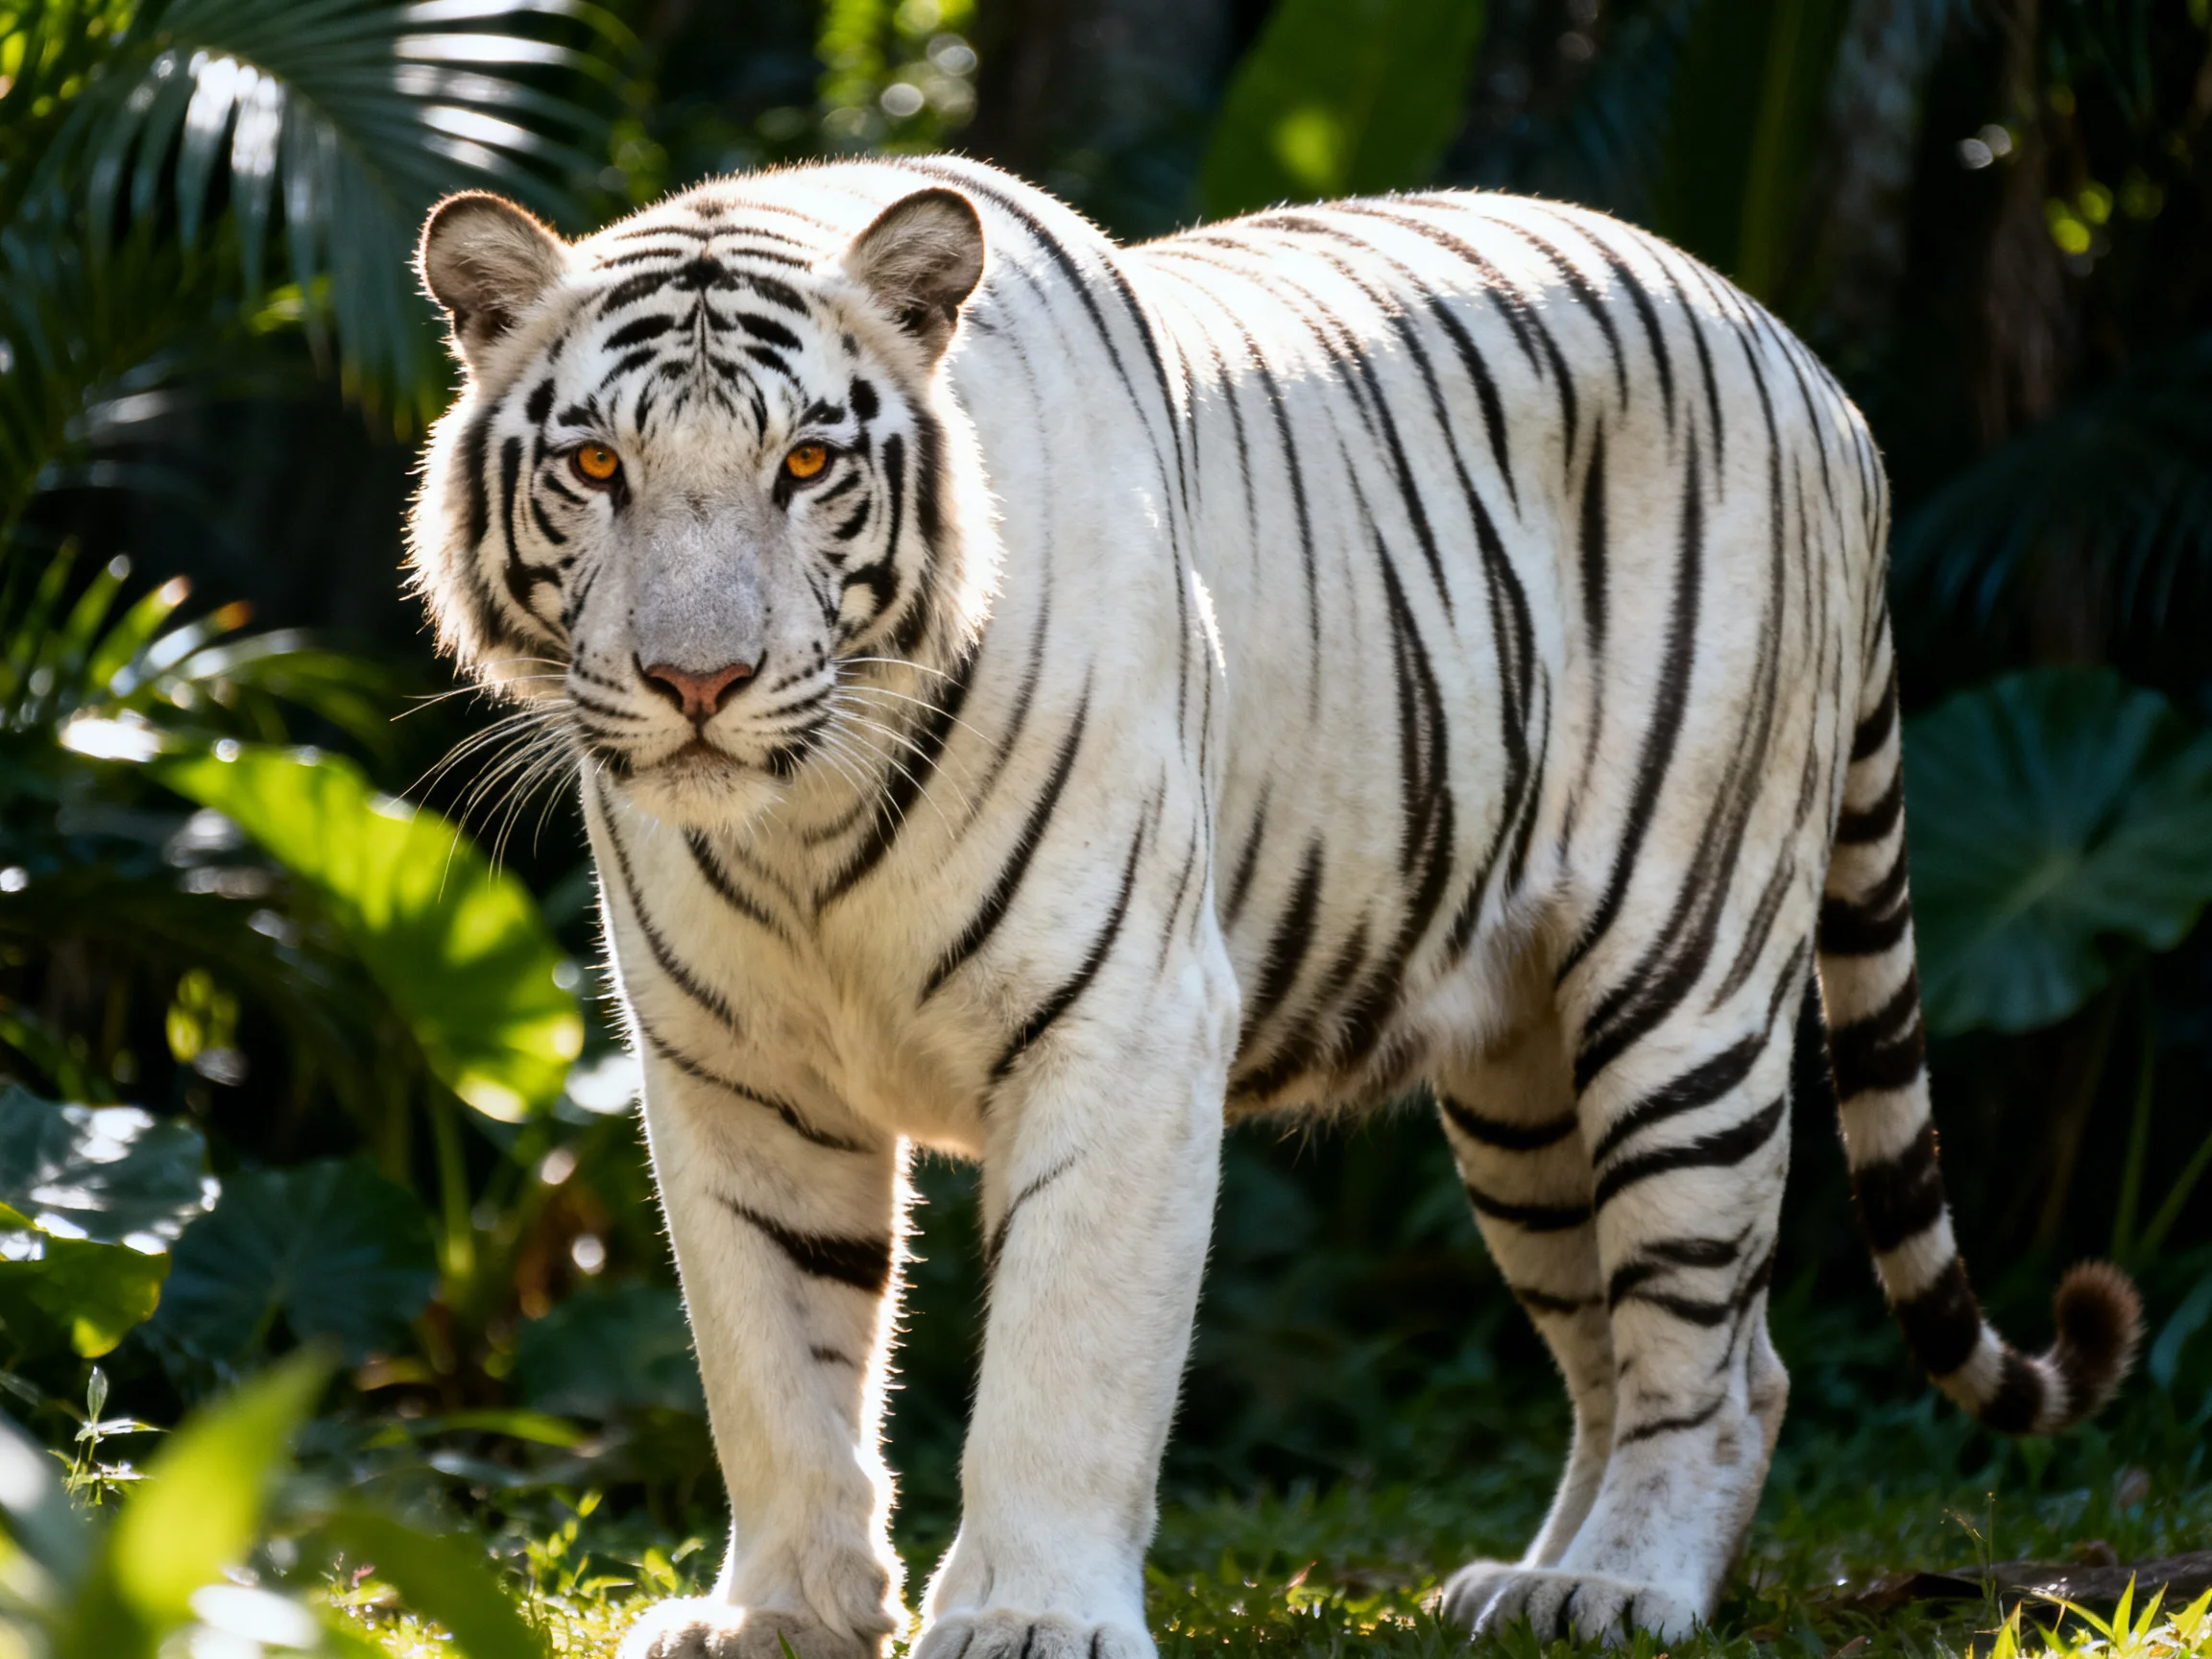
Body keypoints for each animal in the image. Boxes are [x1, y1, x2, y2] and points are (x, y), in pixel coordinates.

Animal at [408, 154, 2142, 1658]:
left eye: (808, 465)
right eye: (597, 466)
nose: (697, 681)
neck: (802, 827)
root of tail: (1808, 370)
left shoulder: (1122, 1028)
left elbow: (1062, 1361)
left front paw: (1031, 1615)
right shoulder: (730, 1074)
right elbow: (771, 1362)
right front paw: (776, 1612)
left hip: (1683, 986)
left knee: (1711, 1356)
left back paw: (1625, 1588)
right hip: (1521, 1089)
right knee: (1624, 1348)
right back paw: (1527, 1580)